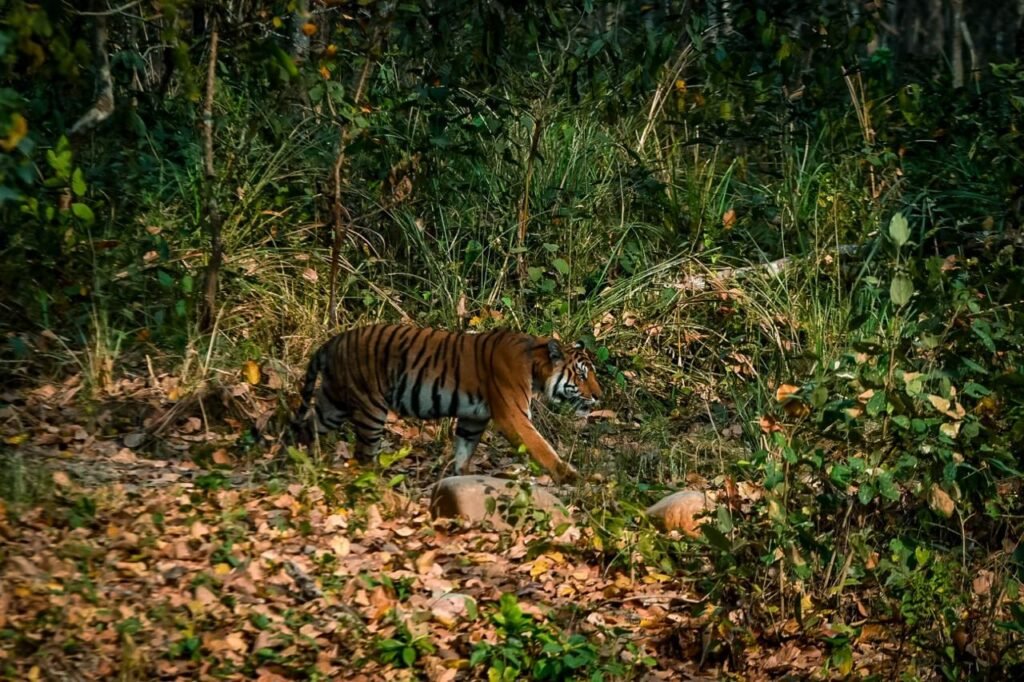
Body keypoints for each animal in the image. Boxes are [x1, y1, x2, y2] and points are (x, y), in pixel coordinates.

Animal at [291, 324, 602, 483]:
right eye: (582, 375)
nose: (599, 396)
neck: (535, 366)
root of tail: (332, 342)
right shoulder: (513, 416)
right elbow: (541, 447)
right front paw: (570, 476)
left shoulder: (473, 418)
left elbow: (464, 450)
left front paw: (460, 479)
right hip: (370, 408)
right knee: (364, 456)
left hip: (333, 403)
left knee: (305, 427)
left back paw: (300, 461)